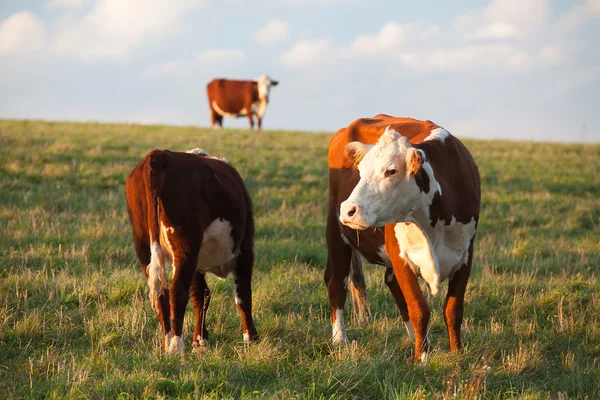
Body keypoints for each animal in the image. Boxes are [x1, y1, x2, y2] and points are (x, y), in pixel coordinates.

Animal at [125, 148, 256, 354]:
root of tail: (159, 155)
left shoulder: (197, 264)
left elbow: (200, 295)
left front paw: (200, 339)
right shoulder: (245, 249)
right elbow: (243, 295)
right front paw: (250, 338)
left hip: (145, 246)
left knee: (161, 294)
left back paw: (166, 342)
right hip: (186, 246)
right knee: (177, 290)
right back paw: (176, 346)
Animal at [326, 115, 480, 362]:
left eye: (391, 171)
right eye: (361, 170)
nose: (349, 210)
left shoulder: (466, 255)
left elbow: (453, 309)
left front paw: (457, 353)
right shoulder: (401, 257)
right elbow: (419, 308)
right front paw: (421, 359)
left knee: (390, 283)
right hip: (336, 231)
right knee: (337, 282)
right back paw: (340, 340)